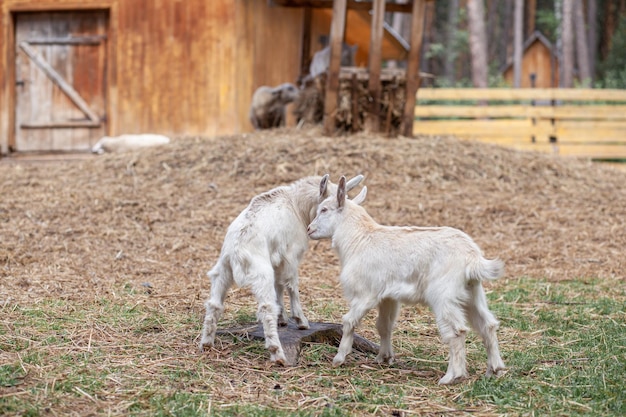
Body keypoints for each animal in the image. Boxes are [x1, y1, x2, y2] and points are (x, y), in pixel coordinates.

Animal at [200, 174, 364, 362]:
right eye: (323, 207)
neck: (296, 204)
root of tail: (237, 249)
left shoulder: (277, 259)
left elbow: (279, 285)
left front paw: (283, 319)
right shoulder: (291, 256)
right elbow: (292, 286)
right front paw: (300, 321)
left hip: (223, 270)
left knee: (214, 304)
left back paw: (206, 344)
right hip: (260, 273)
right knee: (266, 308)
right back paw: (277, 354)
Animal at [304, 176, 504, 384]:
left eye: (324, 209)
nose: (309, 229)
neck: (359, 239)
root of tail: (472, 258)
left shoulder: (365, 294)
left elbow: (349, 321)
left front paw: (339, 358)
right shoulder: (387, 297)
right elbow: (384, 326)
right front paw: (384, 358)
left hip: (443, 295)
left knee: (457, 331)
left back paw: (451, 376)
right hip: (472, 292)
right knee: (487, 325)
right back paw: (494, 370)